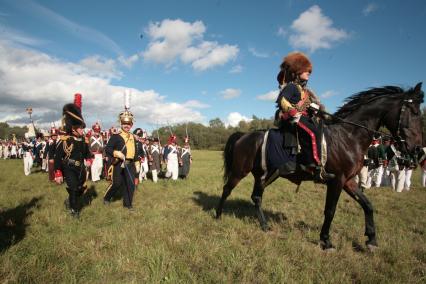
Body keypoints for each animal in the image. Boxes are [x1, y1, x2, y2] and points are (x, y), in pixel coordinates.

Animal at [218, 82, 424, 251]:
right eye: (414, 112)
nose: (417, 149)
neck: (348, 136)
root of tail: (244, 135)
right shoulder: (337, 181)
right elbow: (330, 211)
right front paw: (326, 241)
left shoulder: (348, 181)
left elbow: (367, 205)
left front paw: (371, 240)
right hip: (240, 171)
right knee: (227, 189)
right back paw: (218, 215)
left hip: (265, 175)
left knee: (256, 197)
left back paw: (265, 225)